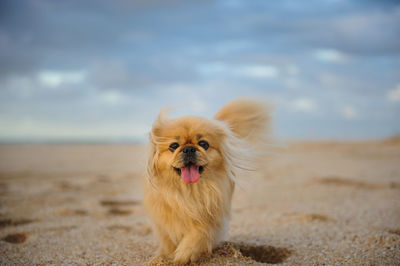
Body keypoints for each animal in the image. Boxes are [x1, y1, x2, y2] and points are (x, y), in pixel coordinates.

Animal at [143, 98, 268, 264]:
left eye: (203, 144)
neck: (189, 191)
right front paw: (166, 257)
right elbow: (169, 239)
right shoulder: (165, 221)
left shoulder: (211, 216)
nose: (189, 148)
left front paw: (185, 253)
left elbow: (199, 233)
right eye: (174, 146)